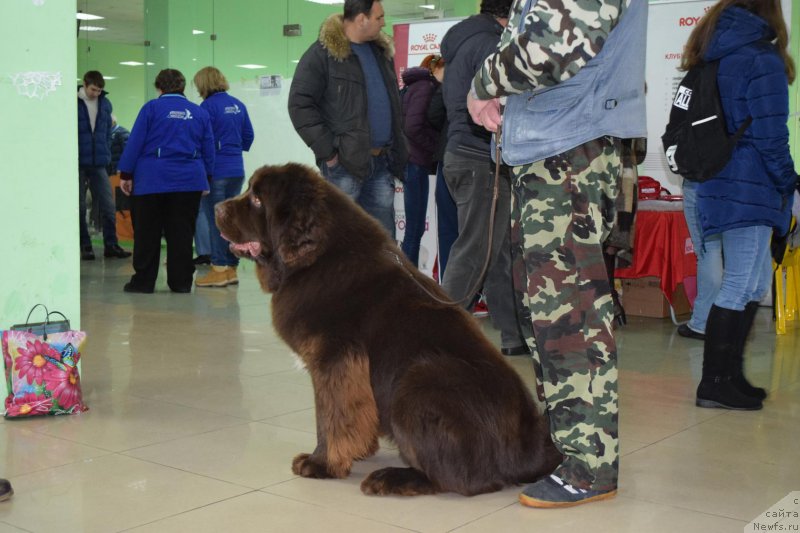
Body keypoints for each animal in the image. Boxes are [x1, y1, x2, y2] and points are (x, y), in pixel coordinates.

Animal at [216, 162, 560, 494]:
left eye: (257, 199)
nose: (218, 207)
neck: (318, 257)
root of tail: (533, 451)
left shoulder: (336, 359)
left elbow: (330, 416)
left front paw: (321, 463)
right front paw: (358, 449)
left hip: (417, 380)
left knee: (463, 480)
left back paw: (393, 478)